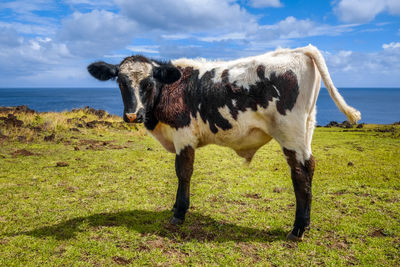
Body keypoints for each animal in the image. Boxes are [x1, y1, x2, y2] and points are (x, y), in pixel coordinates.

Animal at [89, 45, 360, 242]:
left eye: (147, 83)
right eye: (121, 82)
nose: (132, 115)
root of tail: (297, 51)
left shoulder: (183, 134)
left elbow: (183, 172)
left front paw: (179, 213)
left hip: (290, 132)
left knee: (300, 172)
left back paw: (297, 230)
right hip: (306, 129)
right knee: (308, 168)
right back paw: (305, 225)